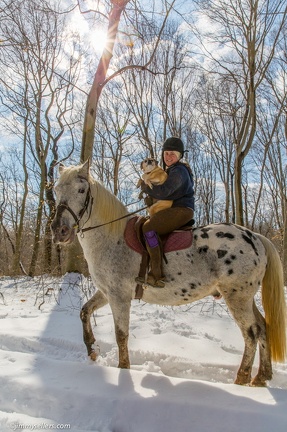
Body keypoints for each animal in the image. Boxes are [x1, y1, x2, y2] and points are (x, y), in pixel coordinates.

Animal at [51, 160, 286, 386]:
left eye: (81, 190)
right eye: (56, 189)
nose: (59, 231)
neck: (111, 237)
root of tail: (255, 236)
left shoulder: (119, 297)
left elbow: (121, 335)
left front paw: (123, 369)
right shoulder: (106, 292)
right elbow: (84, 312)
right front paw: (92, 349)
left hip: (237, 297)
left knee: (251, 333)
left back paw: (242, 379)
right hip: (246, 298)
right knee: (263, 327)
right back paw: (261, 377)